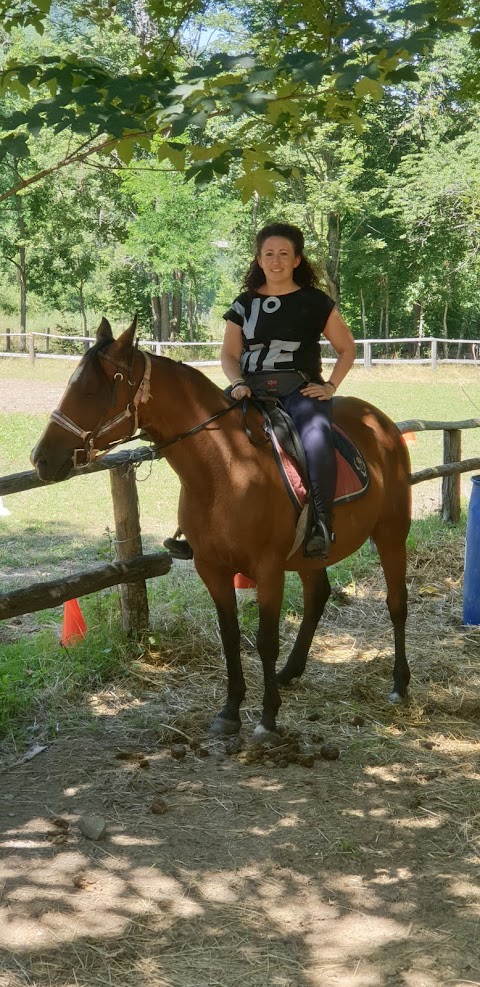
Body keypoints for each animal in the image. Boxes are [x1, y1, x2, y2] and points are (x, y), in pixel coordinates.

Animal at [31, 320, 410, 736]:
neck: (226, 467)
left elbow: (265, 639)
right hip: (310, 557)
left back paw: (400, 683)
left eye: (91, 390)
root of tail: (380, 422)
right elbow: (230, 637)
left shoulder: (268, 569)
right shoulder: (211, 568)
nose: (41, 458)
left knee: (397, 603)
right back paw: (290, 672)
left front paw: (267, 716)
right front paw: (230, 710)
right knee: (318, 596)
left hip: (392, 533)